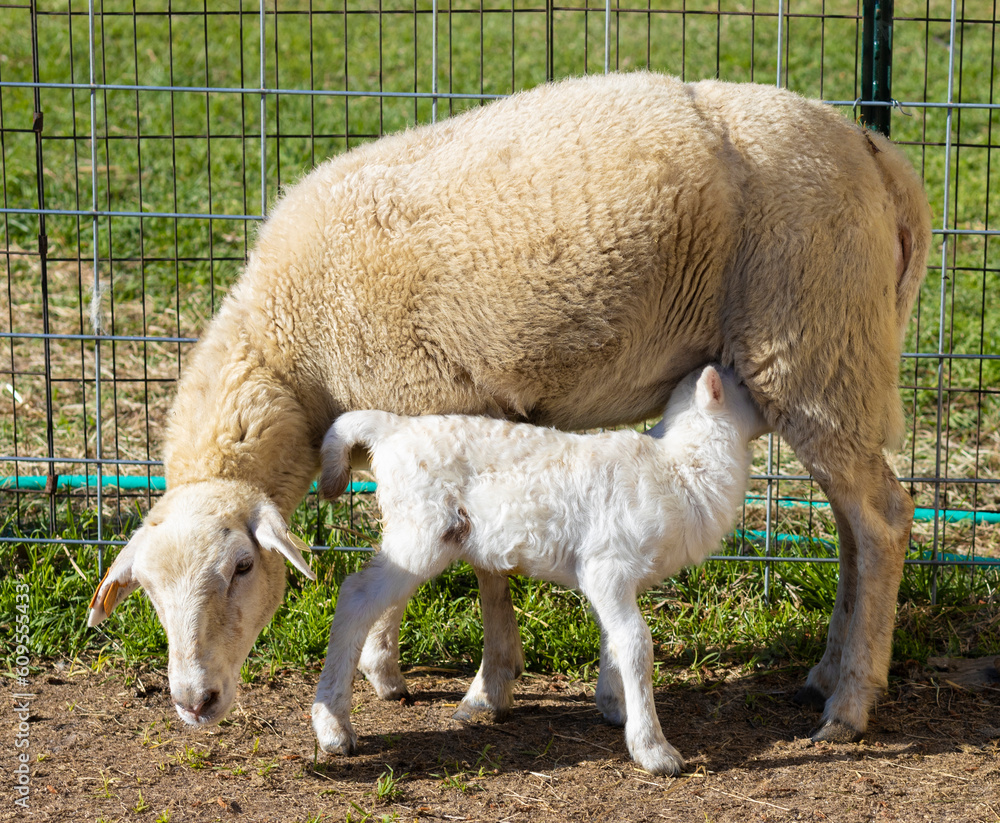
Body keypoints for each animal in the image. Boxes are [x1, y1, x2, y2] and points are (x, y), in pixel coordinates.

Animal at [311, 364, 768, 774]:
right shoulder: (608, 564)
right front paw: (654, 749)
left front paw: (615, 707)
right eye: (744, 385)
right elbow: (636, 643)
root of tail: (391, 430)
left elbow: (613, 639)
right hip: (421, 530)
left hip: (417, 534)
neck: (682, 466)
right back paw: (334, 728)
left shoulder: (612, 580)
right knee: (356, 596)